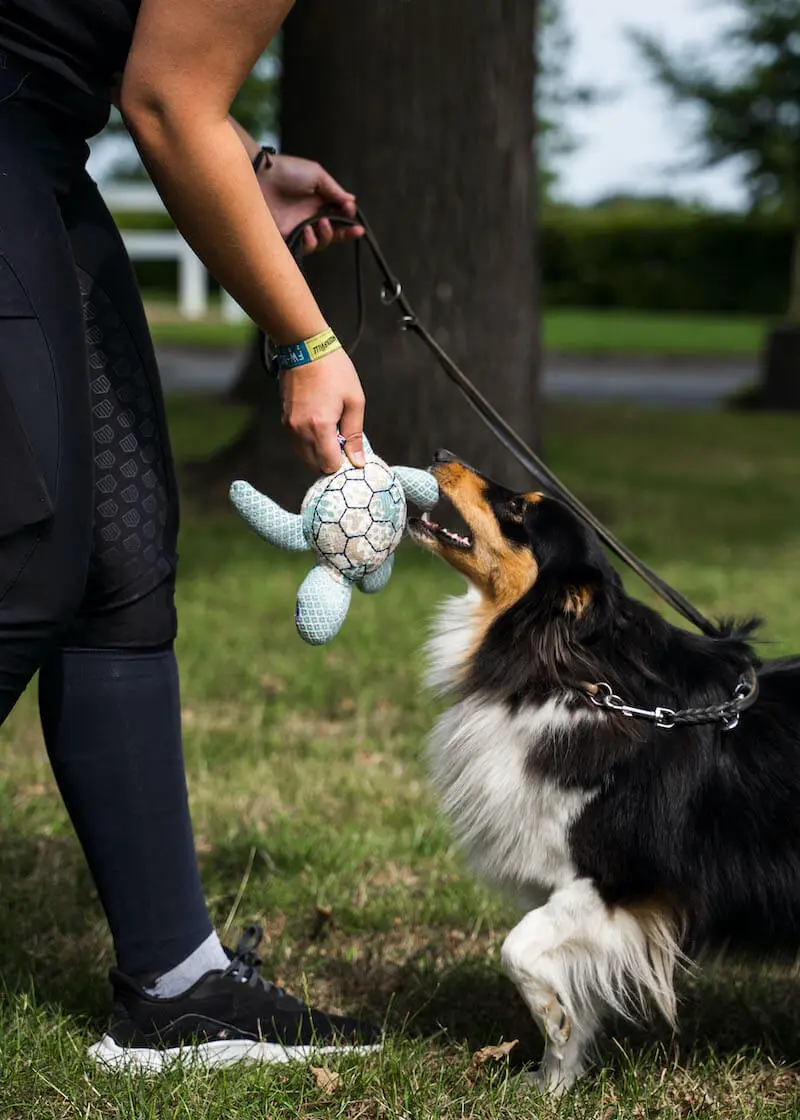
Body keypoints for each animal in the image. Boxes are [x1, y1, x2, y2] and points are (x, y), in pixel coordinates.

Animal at [405, 448, 797, 1093]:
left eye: (519, 510)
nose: (441, 456)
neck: (571, 673)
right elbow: (568, 988)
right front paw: (552, 1084)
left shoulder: (620, 877)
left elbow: (517, 949)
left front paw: (552, 1021)